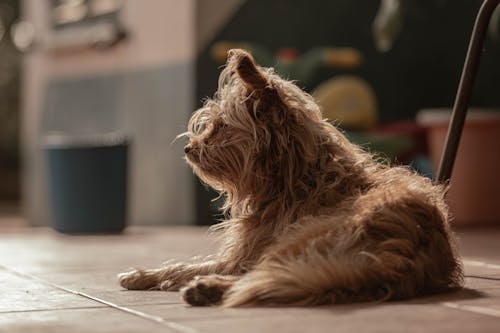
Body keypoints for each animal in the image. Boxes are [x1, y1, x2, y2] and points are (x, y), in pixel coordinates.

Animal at [119, 48, 462, 306]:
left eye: (221, 127)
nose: (189, 148)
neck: (298, 177)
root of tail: (402, 254)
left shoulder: (241, 256)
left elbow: (188, 265)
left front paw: (143, 275)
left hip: (298, 237)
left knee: (258, 276)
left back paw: (208, 288)